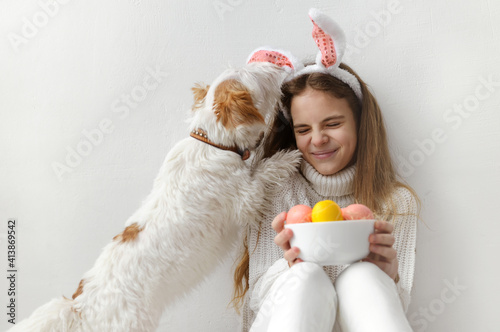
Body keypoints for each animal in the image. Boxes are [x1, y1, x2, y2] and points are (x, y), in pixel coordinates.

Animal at [11, 53, 300, 330]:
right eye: (255, 77)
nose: (275, 64)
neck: (212, 143)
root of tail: (79, 305)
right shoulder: (246, 196)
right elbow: (264, 172)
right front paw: (288, 158)